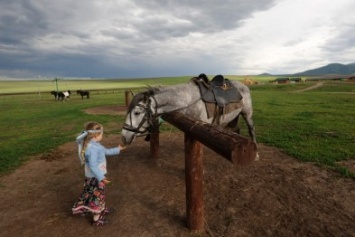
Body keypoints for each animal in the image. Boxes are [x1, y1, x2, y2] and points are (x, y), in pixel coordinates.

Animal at [122, 76, 258, 156]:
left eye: (137, 112)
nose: (123, 137)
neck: (190, 99)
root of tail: (244, 85)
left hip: (247, 114)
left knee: (251, 131)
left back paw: (255, 154)